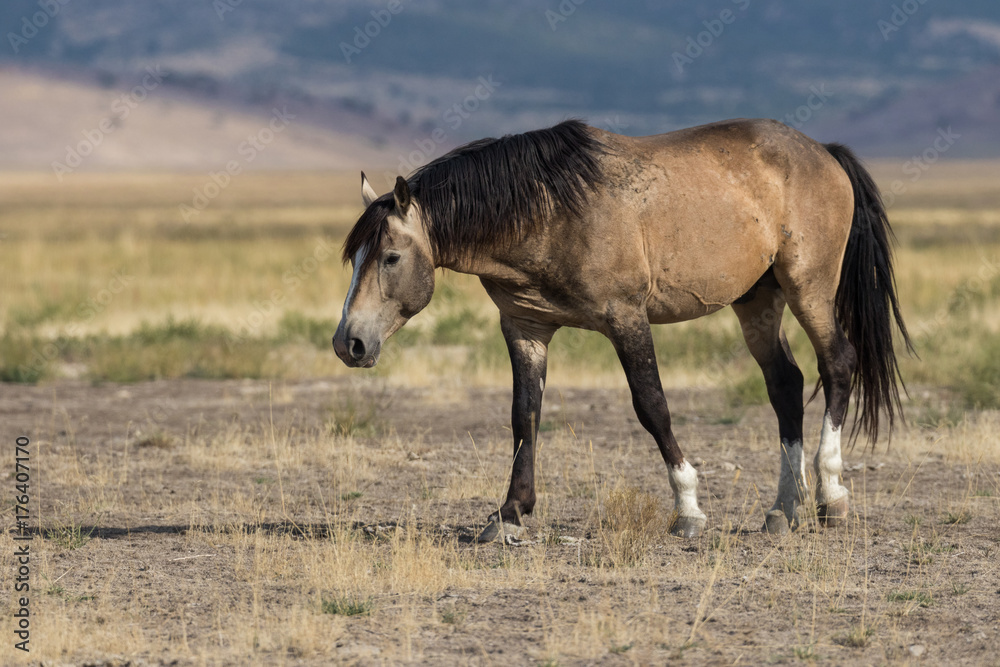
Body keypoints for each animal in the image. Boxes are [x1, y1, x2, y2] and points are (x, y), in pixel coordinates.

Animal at [332, 118, 912, 544]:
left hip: (807, 287)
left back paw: (831, 496)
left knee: (837, 364)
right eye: (356, 258)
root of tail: (823, 152)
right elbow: (524, 416)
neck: (548, 210)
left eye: (390, 257)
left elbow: (652, 406)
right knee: (785, 385)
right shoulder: (525, 326)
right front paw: (510, 512)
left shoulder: (626, 318)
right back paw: (783, 510)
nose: (348, 343)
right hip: (757, 299)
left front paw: (688, 508)